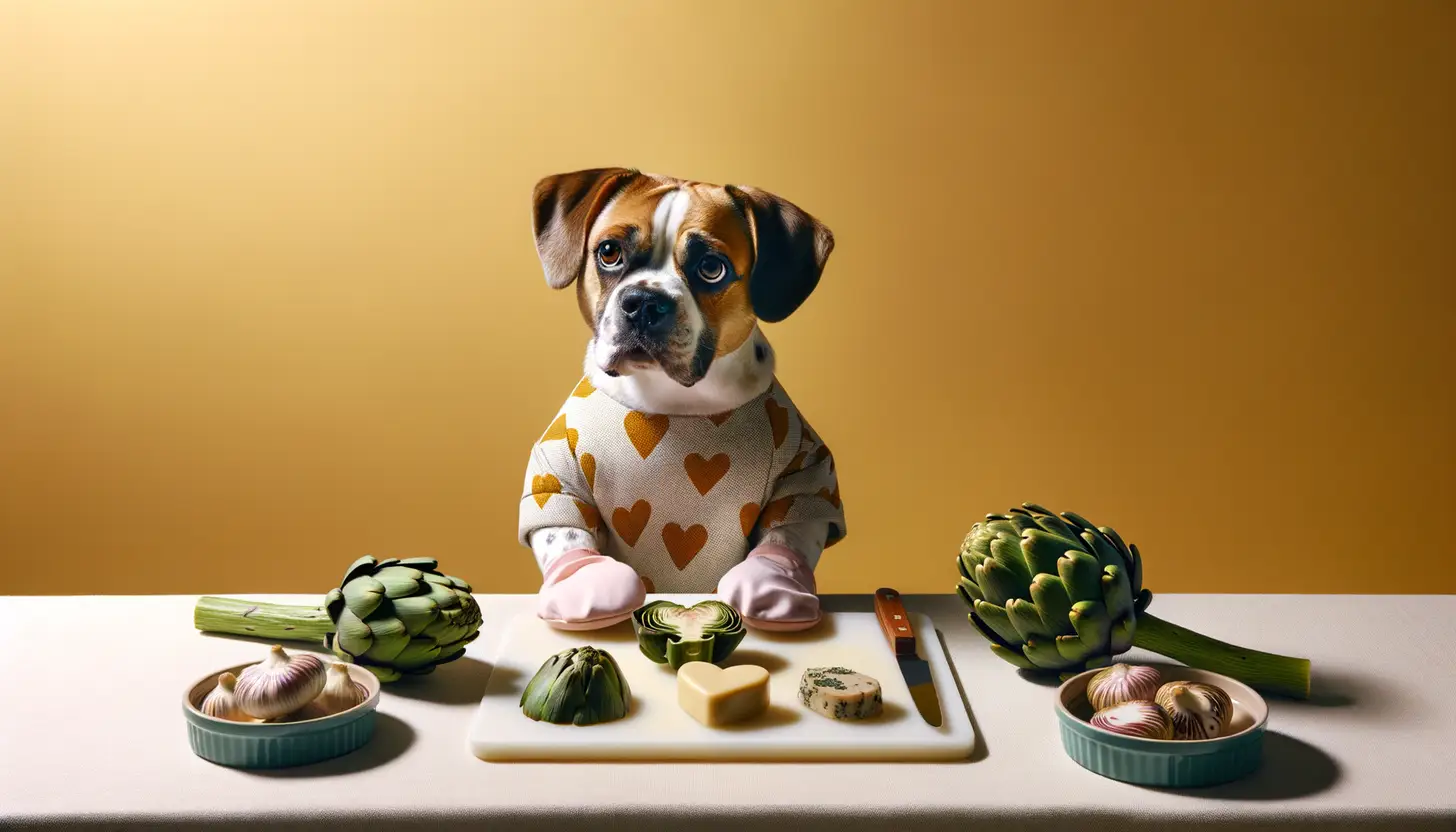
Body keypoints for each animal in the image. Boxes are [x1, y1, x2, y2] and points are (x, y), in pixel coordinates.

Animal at [518, 167, 850, 632]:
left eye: (711, 267)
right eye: (609, 252)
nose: (643, 302)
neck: (674, 402)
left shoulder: (806, 474)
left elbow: (791, 532)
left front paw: (774, 581)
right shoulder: (556, 471)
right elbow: (562, 531)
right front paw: (584, 582)